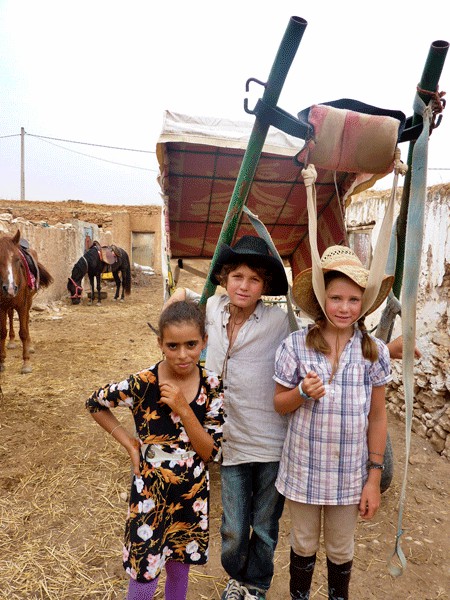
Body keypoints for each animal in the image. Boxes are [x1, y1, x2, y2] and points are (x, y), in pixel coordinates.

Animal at [0, 232, 53, 372]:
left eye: (18, 260)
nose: (10, 288)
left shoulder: (22, 306)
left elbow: (23, 332)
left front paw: (26, 363)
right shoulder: (1, 307)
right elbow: (2, 332)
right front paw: (2, 362)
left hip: (28, 301)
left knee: (27, 321)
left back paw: (29, 346)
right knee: (11, 316)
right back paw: (11, 342)